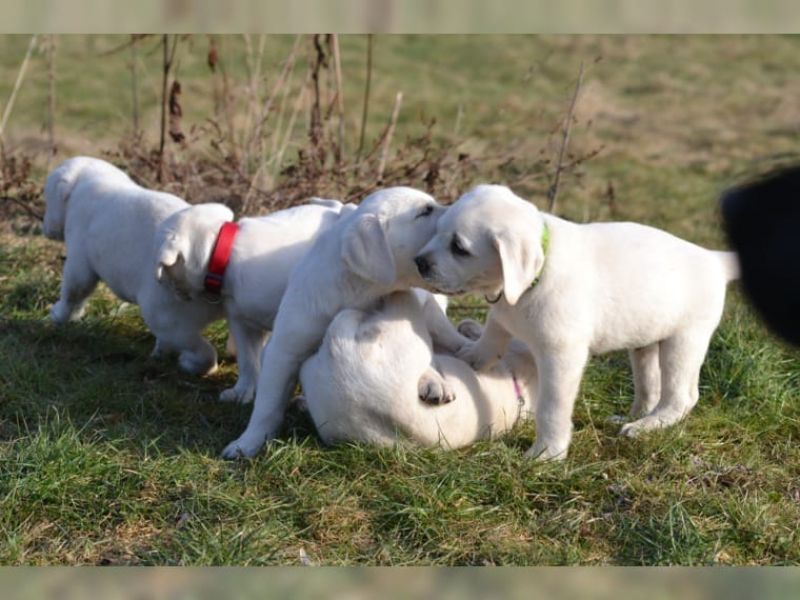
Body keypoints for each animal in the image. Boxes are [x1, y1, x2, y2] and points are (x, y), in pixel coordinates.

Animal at [43, 156, 224, 375]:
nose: (45, 228)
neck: (89, 178)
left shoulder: (79, 255)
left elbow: (75, 290)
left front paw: (59, 315)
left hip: (164, 314)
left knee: (195, 346)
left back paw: (191, 362)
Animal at [154, 198, 351, 403]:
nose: (171, 291)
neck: (220, 253)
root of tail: (338, 209)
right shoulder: (243, 323)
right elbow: (248, 359)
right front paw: (242, 391)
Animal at [221, 187, 467, 458]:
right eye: (425, 211)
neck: (362, 291)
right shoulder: (284, 349)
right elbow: (267, 405)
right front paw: (247, 443)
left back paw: (437, 377)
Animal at [414, 184, 739, 461]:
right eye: (438, 231)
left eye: (459, 247)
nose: (419, 262)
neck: (536, 275)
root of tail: (714, 259)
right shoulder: (503, 313)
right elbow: (493, 335)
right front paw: (472, 356)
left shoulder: (561, 356)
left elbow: (551, 408)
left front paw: (547, 453)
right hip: (645, 344)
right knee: (650, 388)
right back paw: (632, 417)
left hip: (683, 342)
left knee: (682, 397)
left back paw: (647, 426)